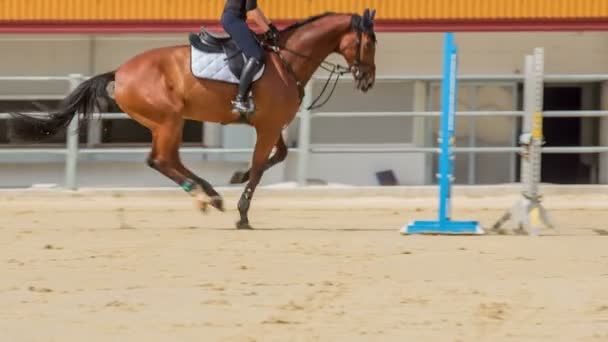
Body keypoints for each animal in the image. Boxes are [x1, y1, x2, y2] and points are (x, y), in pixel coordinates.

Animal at [10, 10, 376, 230]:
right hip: (168, 120)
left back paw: (209, 194)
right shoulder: (268, 127)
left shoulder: (271, 126)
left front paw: (237, 176)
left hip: (166, 123)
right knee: (161, 160)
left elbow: (278, 156)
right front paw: (243, 214)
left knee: (166, 160)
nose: (368, 81)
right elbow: (260, 167)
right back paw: (205, 196)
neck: (285, 61)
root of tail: (120, 72)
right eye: (370, 43)